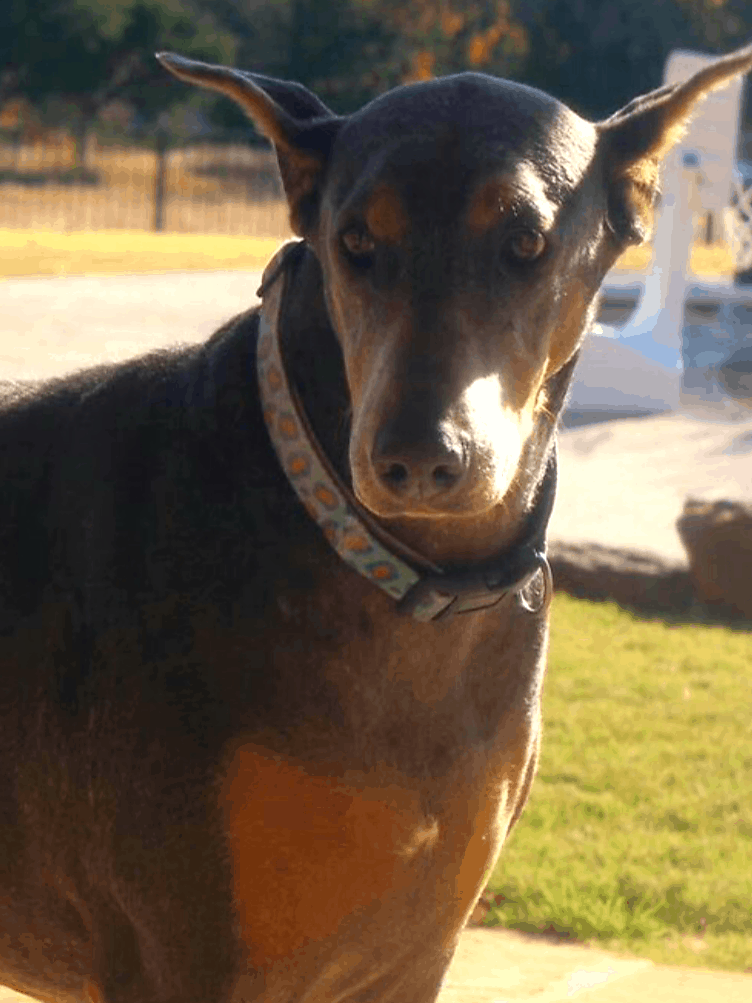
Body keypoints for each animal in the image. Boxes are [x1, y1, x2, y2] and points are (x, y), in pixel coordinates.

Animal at [1, 47, 752, 1003]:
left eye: (526, 241)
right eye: (354, 242)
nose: (417, 456)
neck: (399, 581)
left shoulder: (416, 950)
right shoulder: (185, 950)